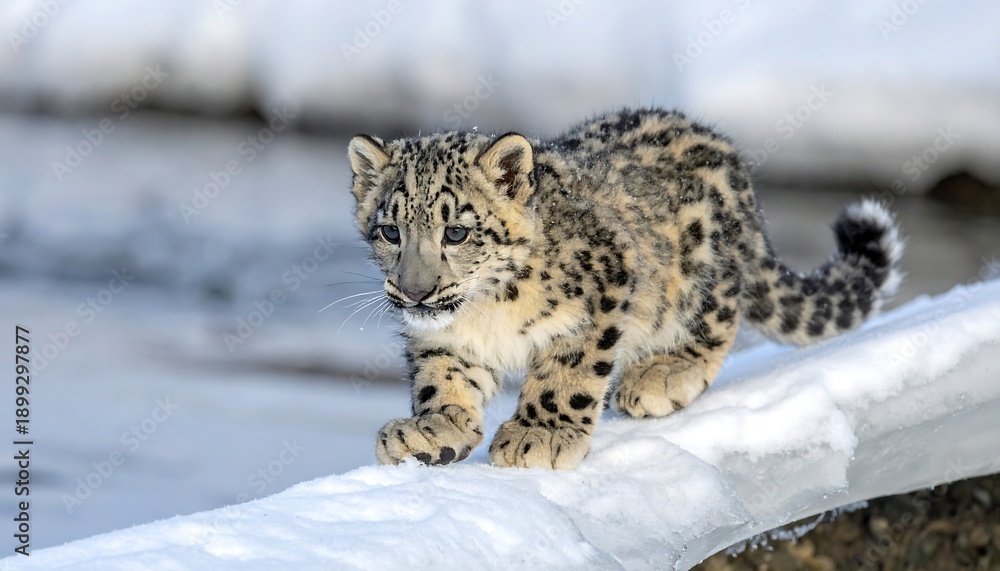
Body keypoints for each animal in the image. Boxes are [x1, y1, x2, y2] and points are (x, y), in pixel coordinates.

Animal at [347, 108, 903, 470]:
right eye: (390, 232)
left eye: (457, 233)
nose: (415, 292)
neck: (483, 314)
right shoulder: (442, 337)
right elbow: (442, 375)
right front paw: (431, 430)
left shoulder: (604, 284)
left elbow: (568, 370)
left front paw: (540, 435)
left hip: (704, 274)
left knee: (719, 322)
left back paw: (660, 376)